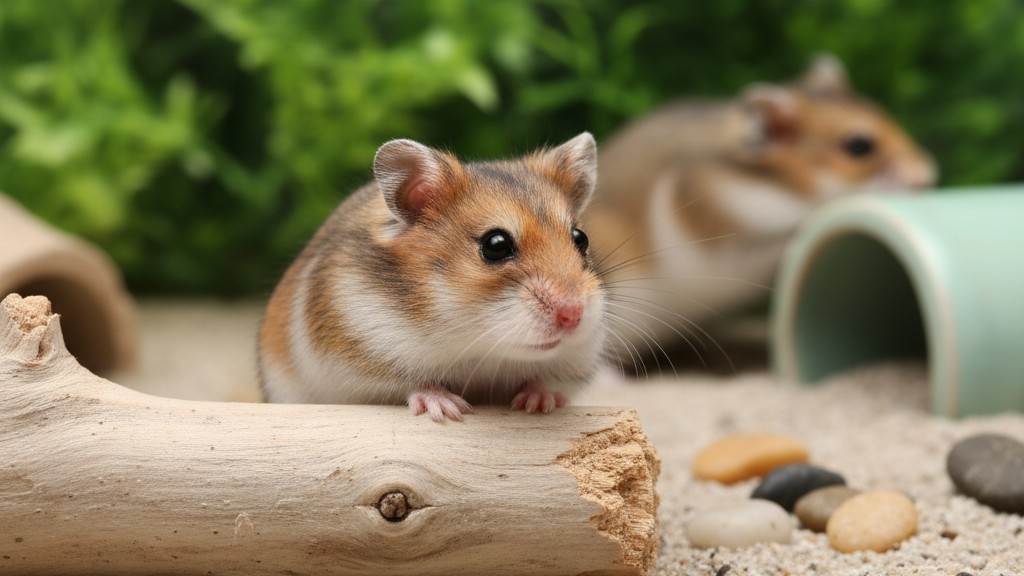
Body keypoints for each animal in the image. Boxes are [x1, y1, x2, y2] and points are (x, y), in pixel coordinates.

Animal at [258, 133, 606, 422]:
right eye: (495, 245)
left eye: (580, 238)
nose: (573, 315)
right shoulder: (363, 359)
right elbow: (415, 384)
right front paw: (448, 409)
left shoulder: (576, 361)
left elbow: (547, 380)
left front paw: (540, 402)